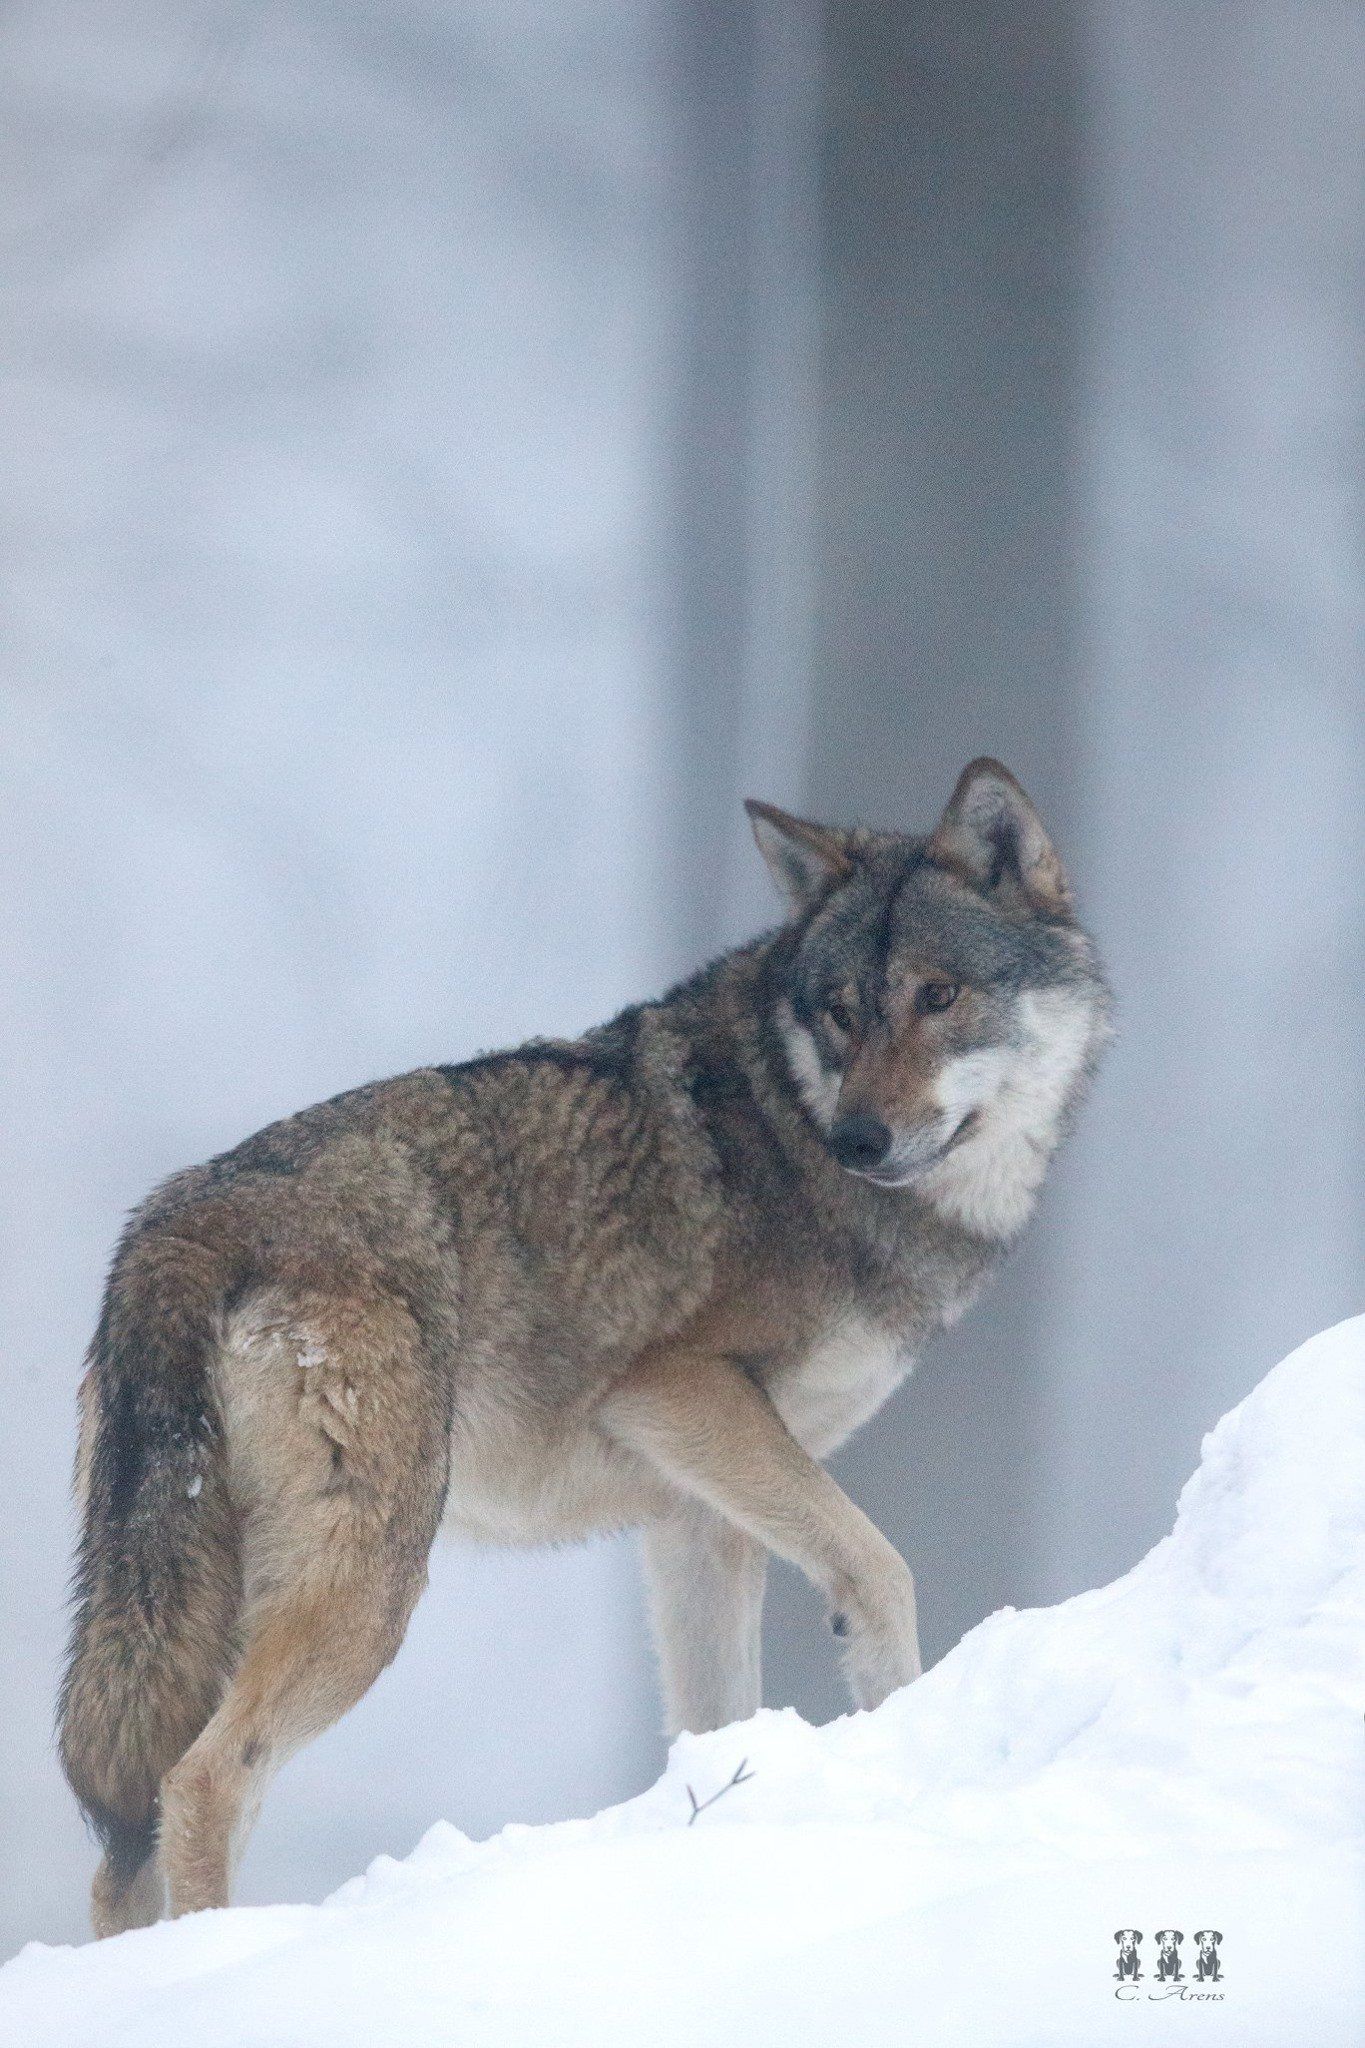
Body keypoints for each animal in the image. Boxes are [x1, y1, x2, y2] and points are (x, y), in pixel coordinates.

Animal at [59, 758, 1109, 1935]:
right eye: (842, 1010)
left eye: (938, 995)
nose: (859, 1138)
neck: (791, 1129)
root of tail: (182, 1216)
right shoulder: (677, 1394)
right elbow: (882, 1570)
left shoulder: (698, 1513)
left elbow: (713, 1715)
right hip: (370, 1587)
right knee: (200, 1780)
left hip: (217, 1597)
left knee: (128, 1844)